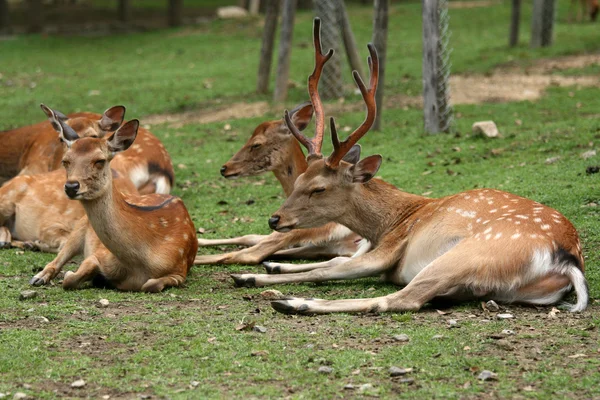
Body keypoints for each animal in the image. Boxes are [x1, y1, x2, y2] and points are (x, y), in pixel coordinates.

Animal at [30, 114, 198, 292]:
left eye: (100, 160)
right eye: (65, 161)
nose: (71, 186)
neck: (138, 264)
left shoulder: (179, 270)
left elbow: (151, 284)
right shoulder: (98, 254)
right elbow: (70, 279)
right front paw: (86, 276)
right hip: (79, 227)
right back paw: (38, 276)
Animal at [229, 19, 584, 316]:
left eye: (319, 189)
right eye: (300, 178)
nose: (275, 219)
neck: (386, 223)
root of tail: (567, 261)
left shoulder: (388, 250)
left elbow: (325, 269)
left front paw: (248, 275)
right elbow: (331, 259)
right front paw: (267, 269)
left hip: (463, 256)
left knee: (400, 299)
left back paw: (294, 303)